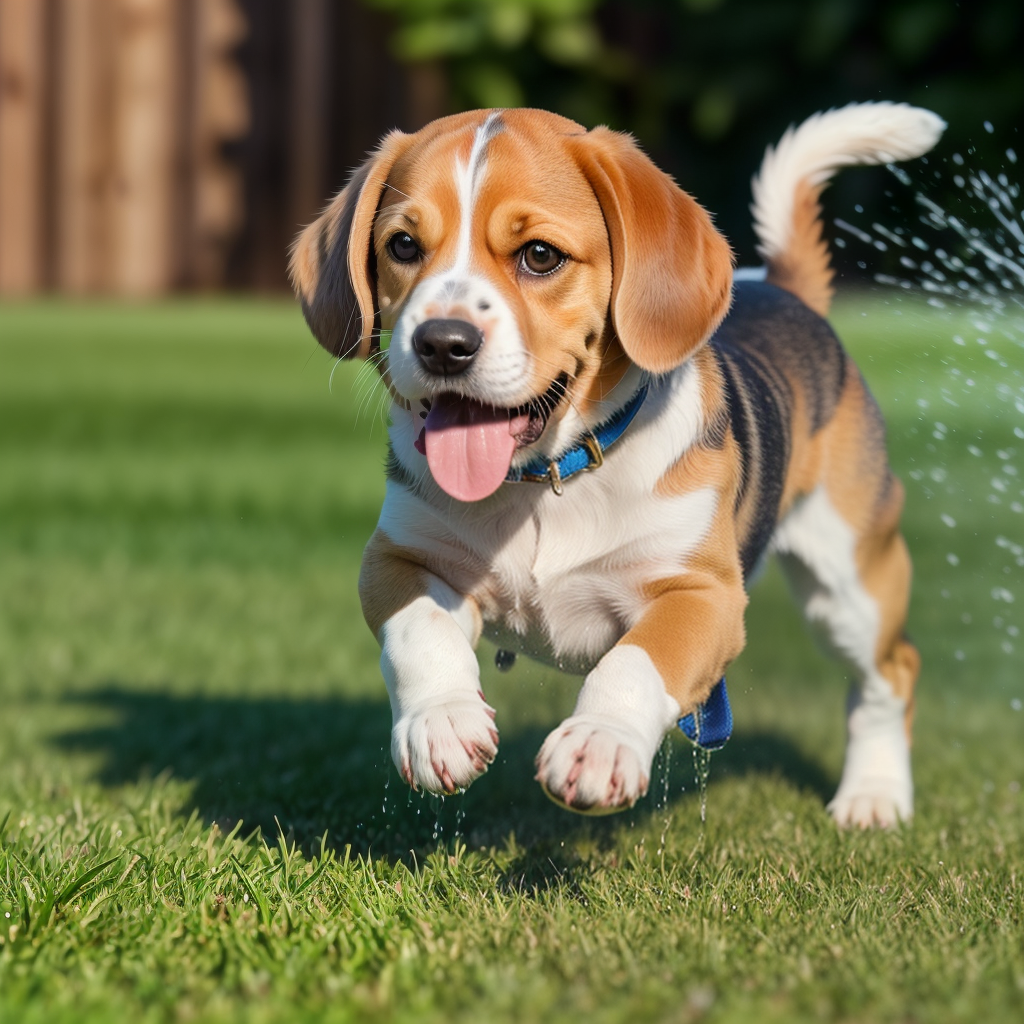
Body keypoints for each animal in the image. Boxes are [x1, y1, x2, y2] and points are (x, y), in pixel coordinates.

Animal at [288, 101, 942, 823]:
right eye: (403, 246)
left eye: (539, 256)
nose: (442, 342)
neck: (546, 480)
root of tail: (786, 294)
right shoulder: (398, 556)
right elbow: (420, 629)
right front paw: (441, 722)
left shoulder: (703, 593)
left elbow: (635, 660)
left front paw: (599, 743)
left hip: (852, 580)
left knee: (894, 671)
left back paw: (873, 795)